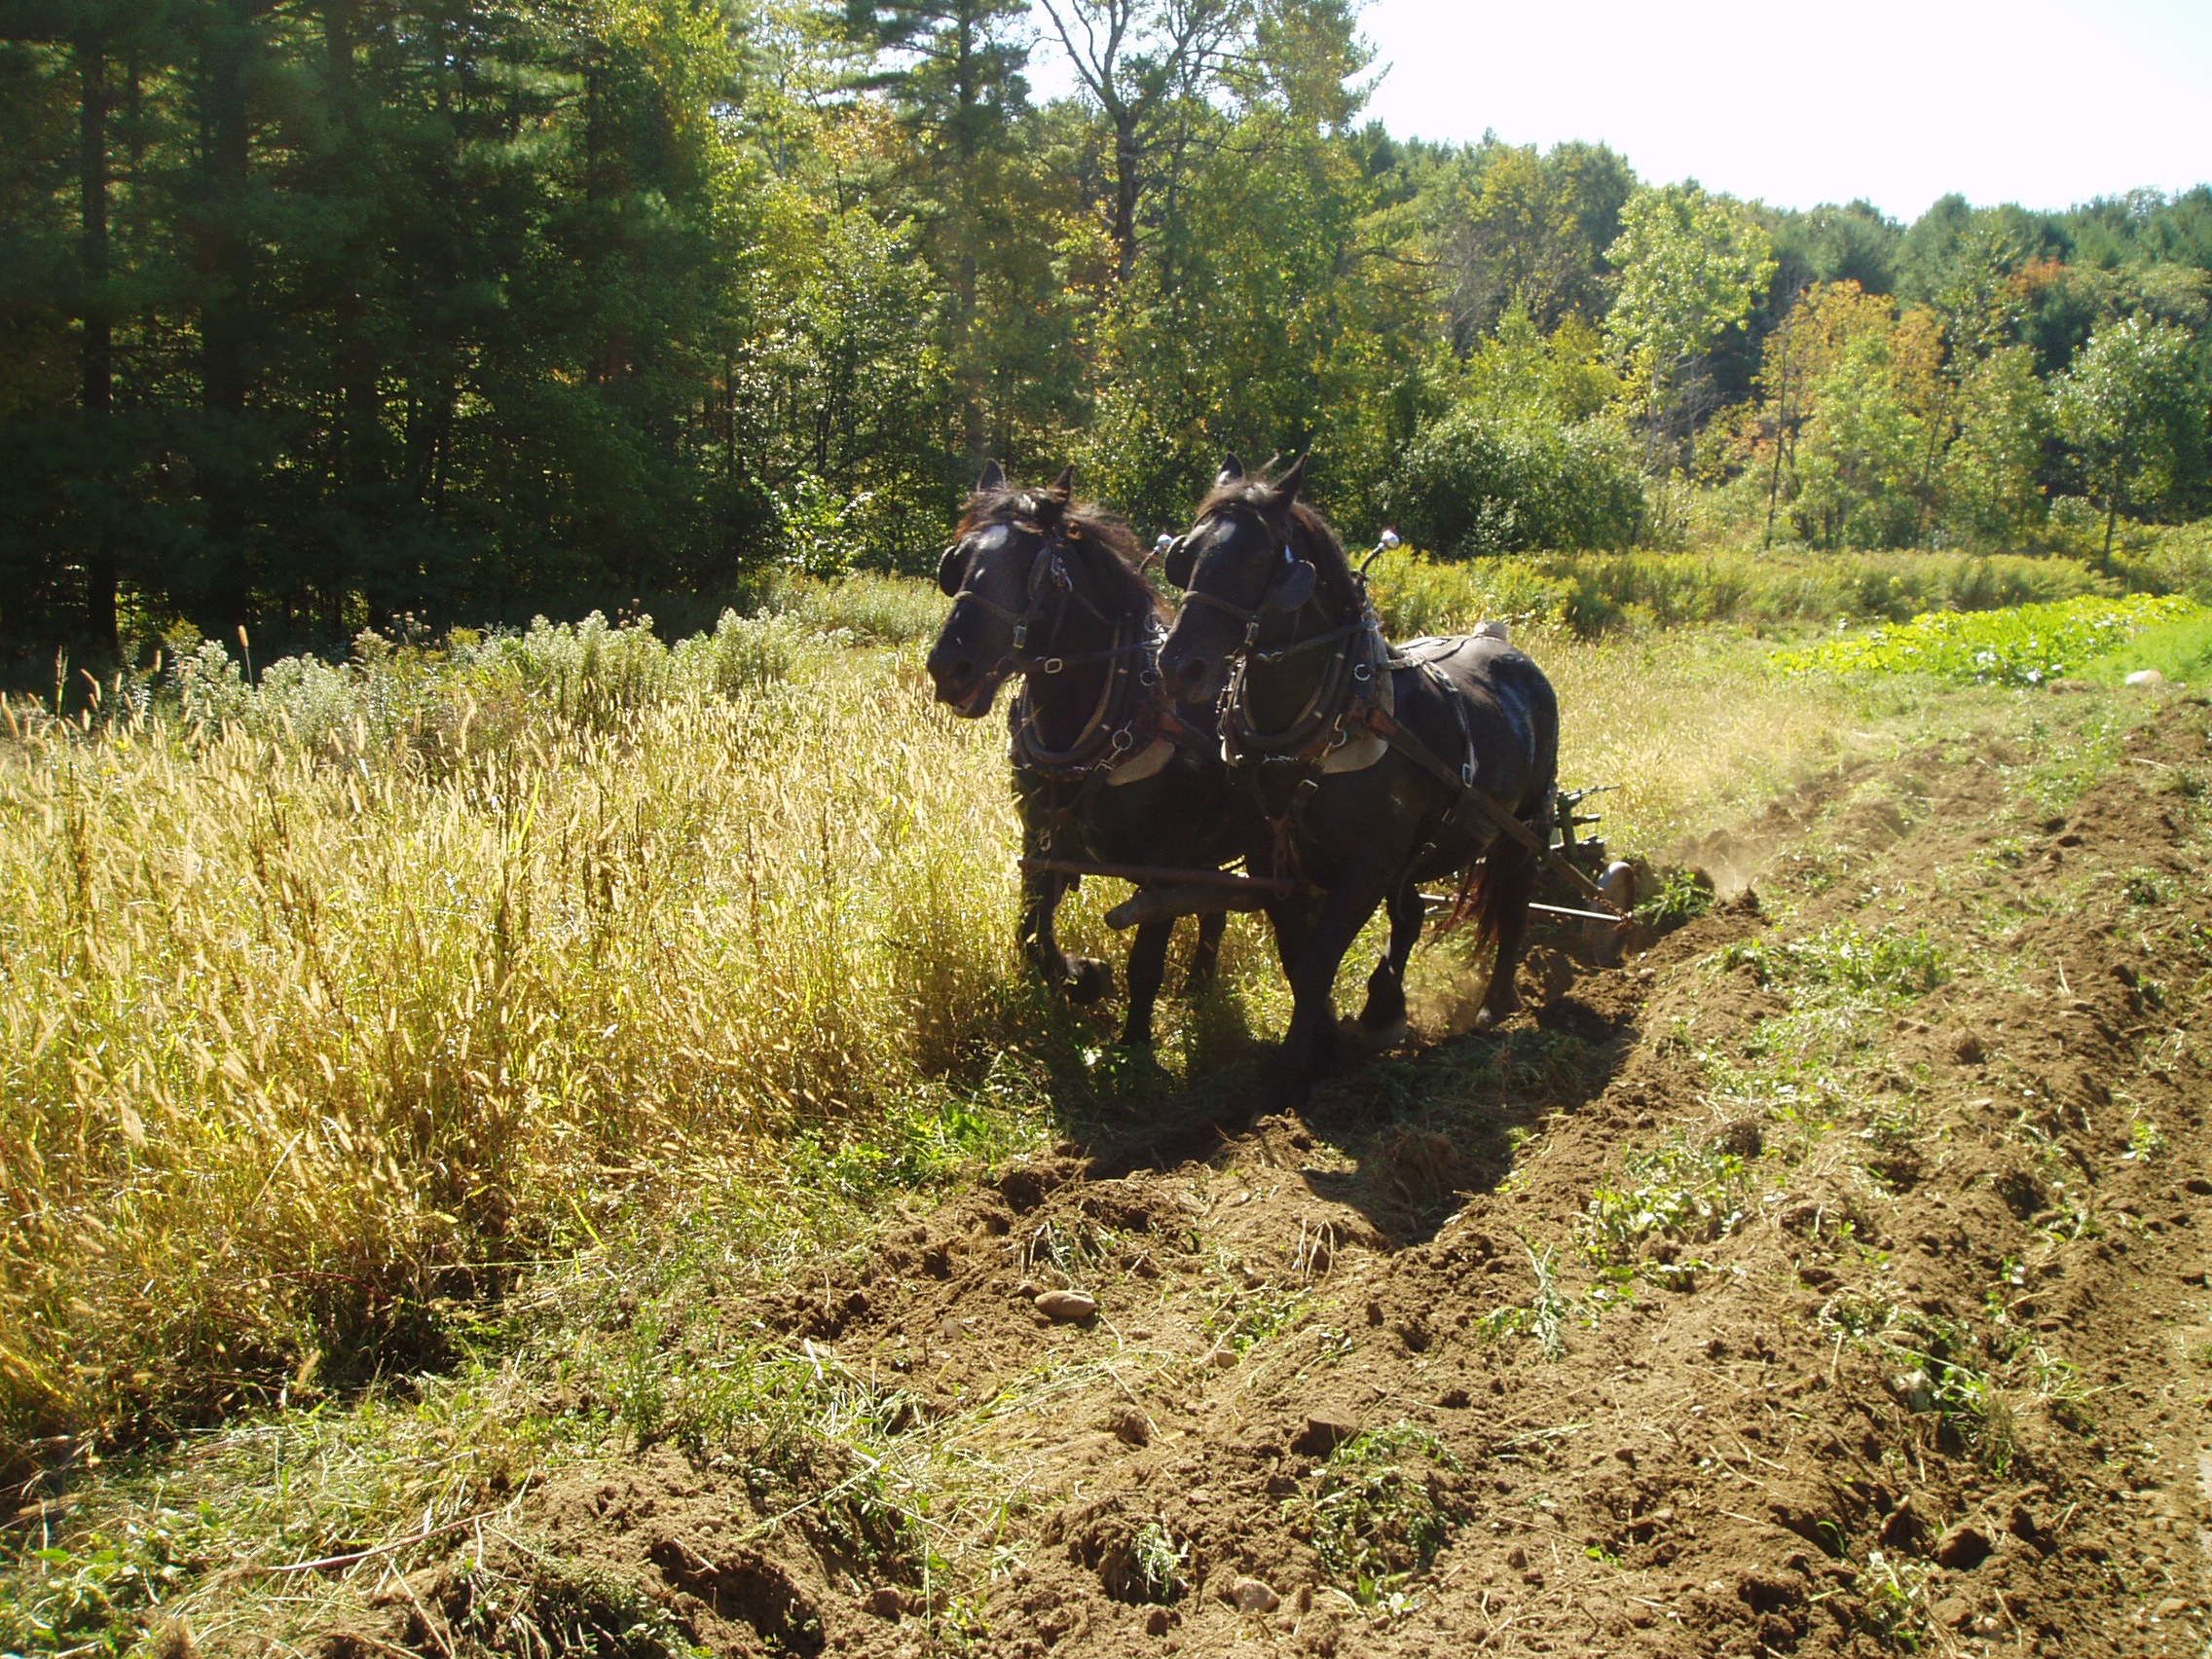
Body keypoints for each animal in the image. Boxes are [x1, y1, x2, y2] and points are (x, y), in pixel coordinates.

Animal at [924, 461, 1256, 1044]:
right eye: (957, 561)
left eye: (1032, 569)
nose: (950, 667)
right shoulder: (1041, 841)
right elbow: (1030, 938)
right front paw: (1083, 977)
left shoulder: (1166, 864)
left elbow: (1146, 962)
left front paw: (1134, 1044)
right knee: (1214, 910)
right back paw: (1197, 987)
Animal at [1150, 456, 1566, 1106]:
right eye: (1185, 555)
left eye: (1256, 559)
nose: (1178, 667)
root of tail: (1510, 651)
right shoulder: (1274, 861)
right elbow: (1298, 959)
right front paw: (1326, 1045)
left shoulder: (1366, 865)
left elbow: (1318, 960)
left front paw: (1292, 1071)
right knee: (1412, 913)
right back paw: (1383, 1012)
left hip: (1527, 824)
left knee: (1515, 902)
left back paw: (1496, 1003)